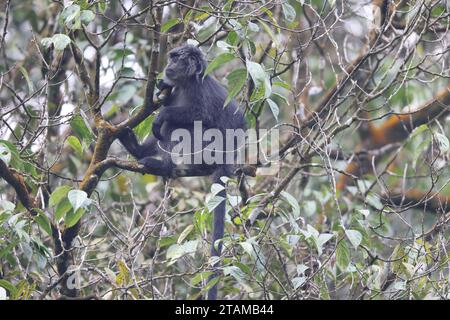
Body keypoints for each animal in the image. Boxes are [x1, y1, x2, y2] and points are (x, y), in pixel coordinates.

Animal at [118, 43, 246, 298]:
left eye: (176, 59)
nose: (167, 66)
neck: (187, 84)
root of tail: (227, 161)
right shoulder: (175, 92)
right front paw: (162, 85)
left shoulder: (199, 90)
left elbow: (201, 115)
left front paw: (161, 114)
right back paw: (138, 151)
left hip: (206, 149)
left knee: (176, 125)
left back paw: (164, 164)